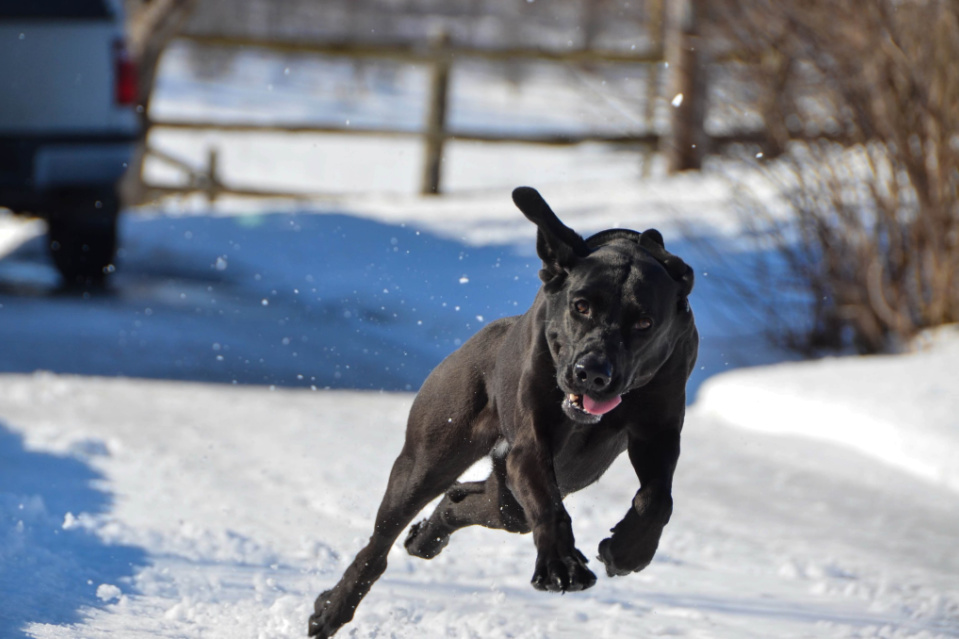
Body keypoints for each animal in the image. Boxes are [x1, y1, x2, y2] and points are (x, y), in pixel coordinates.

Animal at [310, 186, 696, 639]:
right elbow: (547, 503)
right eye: (581, 306)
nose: (593, 373)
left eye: (645, 323)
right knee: (380, 543)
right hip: (430, 455)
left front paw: (629, 549)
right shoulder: (532, 443)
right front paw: (561, 564)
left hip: (539, 484)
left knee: (476, 501)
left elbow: (657, 498)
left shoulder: (659, 430)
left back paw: (429, 534)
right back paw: (332, 608)